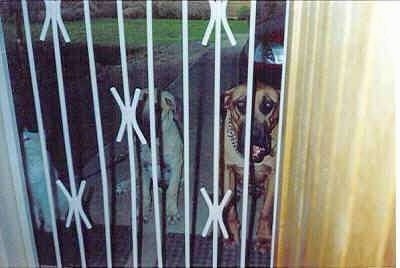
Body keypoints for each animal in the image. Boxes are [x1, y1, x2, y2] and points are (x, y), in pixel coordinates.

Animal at [222, 81, 278, 253]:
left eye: (268, 105)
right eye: (241, 104)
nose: (254, 135)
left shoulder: (272, 176)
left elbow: (265, 211)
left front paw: (263, 238)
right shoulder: (228, 171)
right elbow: (229, 207)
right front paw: (231, 234)